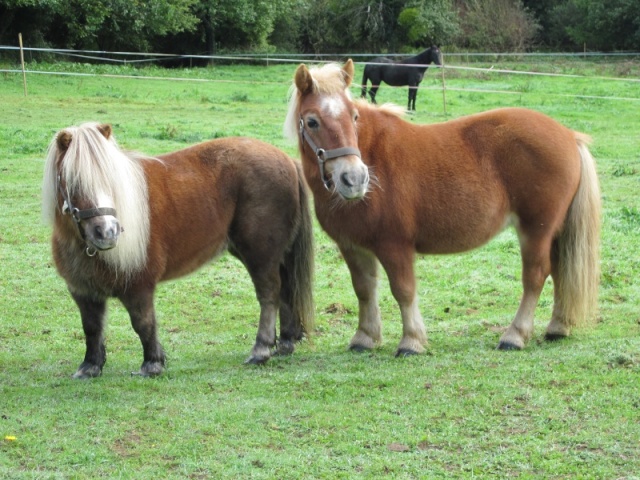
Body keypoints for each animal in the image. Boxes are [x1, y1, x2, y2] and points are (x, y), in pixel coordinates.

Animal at [284, 59, 600, 356]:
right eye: (312, 121)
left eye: (354, 116)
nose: (355, 179)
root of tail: (568, 134)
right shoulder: (353, 246)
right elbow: (364, 289)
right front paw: (365, 337)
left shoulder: (394, 245)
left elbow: (403, 291)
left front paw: (411, 342)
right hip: (554, 231)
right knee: (559, 269)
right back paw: (558, 327)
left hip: (536, 229)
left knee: (536, 275)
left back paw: (515, 335)